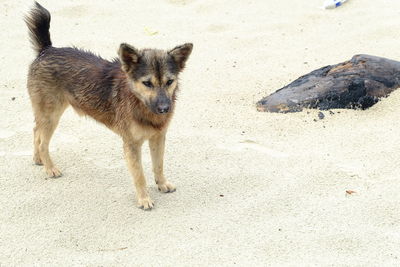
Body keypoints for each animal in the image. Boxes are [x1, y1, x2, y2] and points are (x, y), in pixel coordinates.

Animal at [25, 2, 194, 211]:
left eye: (169, 81)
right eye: (147, 83)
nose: (164, 108)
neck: (137, 101)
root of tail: (47, 49)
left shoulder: (158, 138)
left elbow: (158, 165)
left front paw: (162, 184)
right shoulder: (132, 145)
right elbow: (140, 175)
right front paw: (143, 199)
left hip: (46, 114)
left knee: (36, 131)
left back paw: (38, 159)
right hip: (51, 115)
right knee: (42, 141)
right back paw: (50, 168)